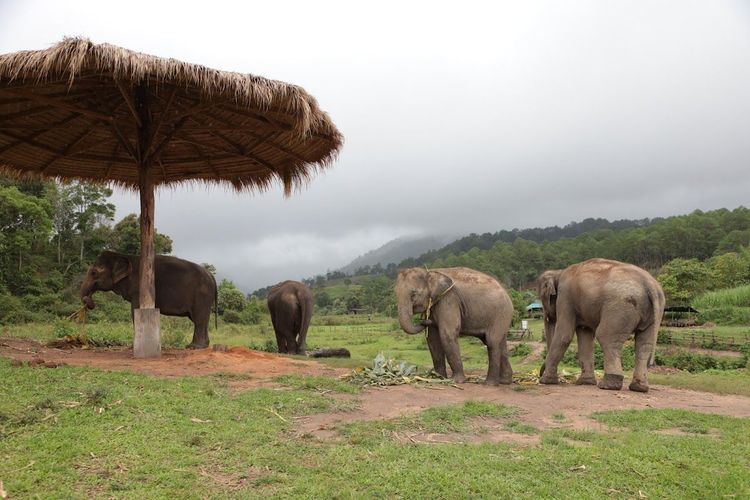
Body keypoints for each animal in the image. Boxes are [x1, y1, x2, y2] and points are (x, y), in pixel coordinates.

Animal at [80, 251, 217, 349]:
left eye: (94, 273)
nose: (88, 299)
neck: (124, 256)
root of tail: (211, 275)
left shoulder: (138, 289)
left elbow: (134, 310)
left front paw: (134, 346)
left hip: (202, 296)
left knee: (199, 318)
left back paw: (194, 347)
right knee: (200, 320)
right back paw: (201, 345)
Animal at [538, 258, 665, 392]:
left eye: (543, 298)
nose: (539, 374)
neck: (558, 272)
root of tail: (649, 284)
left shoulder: (565, 297)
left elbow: (564, 335)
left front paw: (546, 381)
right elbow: (585, 334)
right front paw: (585, 382)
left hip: (620, 308)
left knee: (606, 337)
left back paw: (608, 385)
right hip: (653, 312)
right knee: (645, 343)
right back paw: (639, 387)